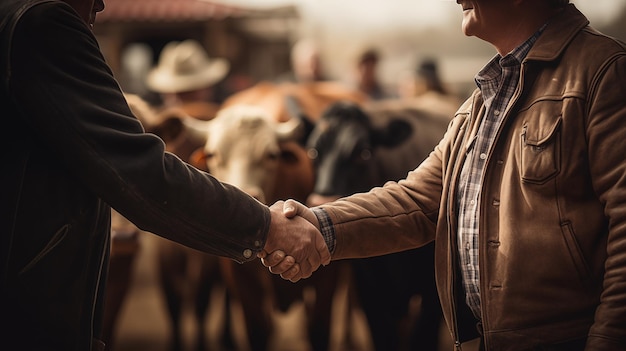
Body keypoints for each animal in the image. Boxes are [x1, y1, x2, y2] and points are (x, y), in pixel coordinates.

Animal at [304, 99, 454, 351]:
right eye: (313, 151)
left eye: (363, 153)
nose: (320, 201)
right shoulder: (370, 291)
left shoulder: (432, 294)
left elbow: (422, 338)